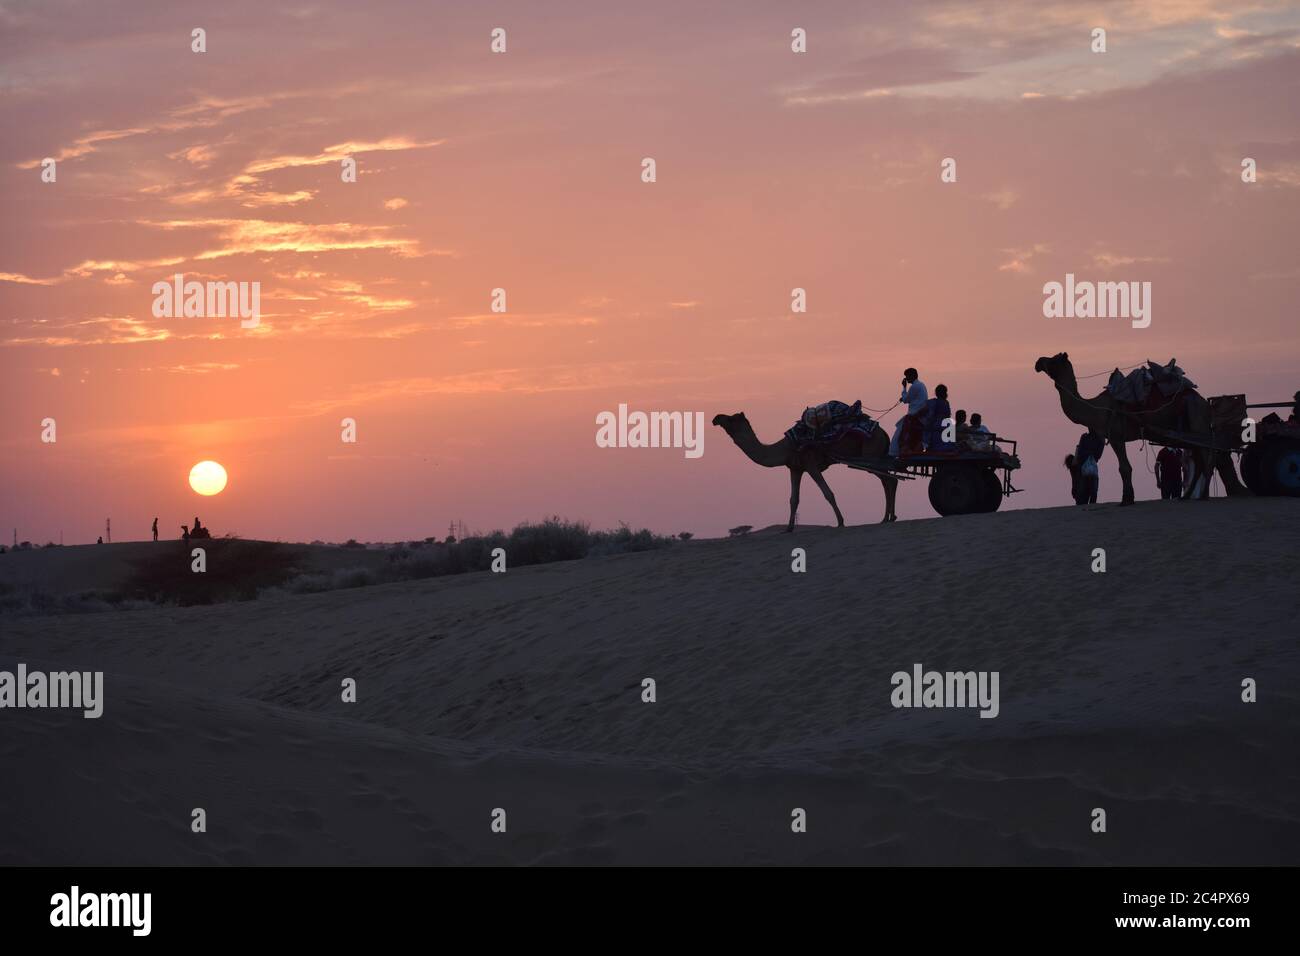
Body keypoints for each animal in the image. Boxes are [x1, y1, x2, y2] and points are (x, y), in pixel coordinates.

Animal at [712, 411, 894, 530]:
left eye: (731, 418)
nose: (716, 418)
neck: (786, 448)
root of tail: (884, 434)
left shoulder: (811, 464)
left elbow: (828, 493)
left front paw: (841, 522)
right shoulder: (795, 469)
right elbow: (794, 499)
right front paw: (789, 528)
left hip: (870, 455)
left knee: (890, 479)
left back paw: (889, 517)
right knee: (887, 480)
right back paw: (888, 518)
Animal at [1034, 348, 1248, 502]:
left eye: (1054, 359)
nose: (1037, 362)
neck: (1098, 407)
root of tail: (1205, 403)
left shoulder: (1116, 436)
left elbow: (1124, 468)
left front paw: (1126, 499)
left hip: (1197, 421)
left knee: (1208, 457)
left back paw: (1202, 495)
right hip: (1190, 429)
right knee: (1201, 458)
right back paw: (1187, 497)